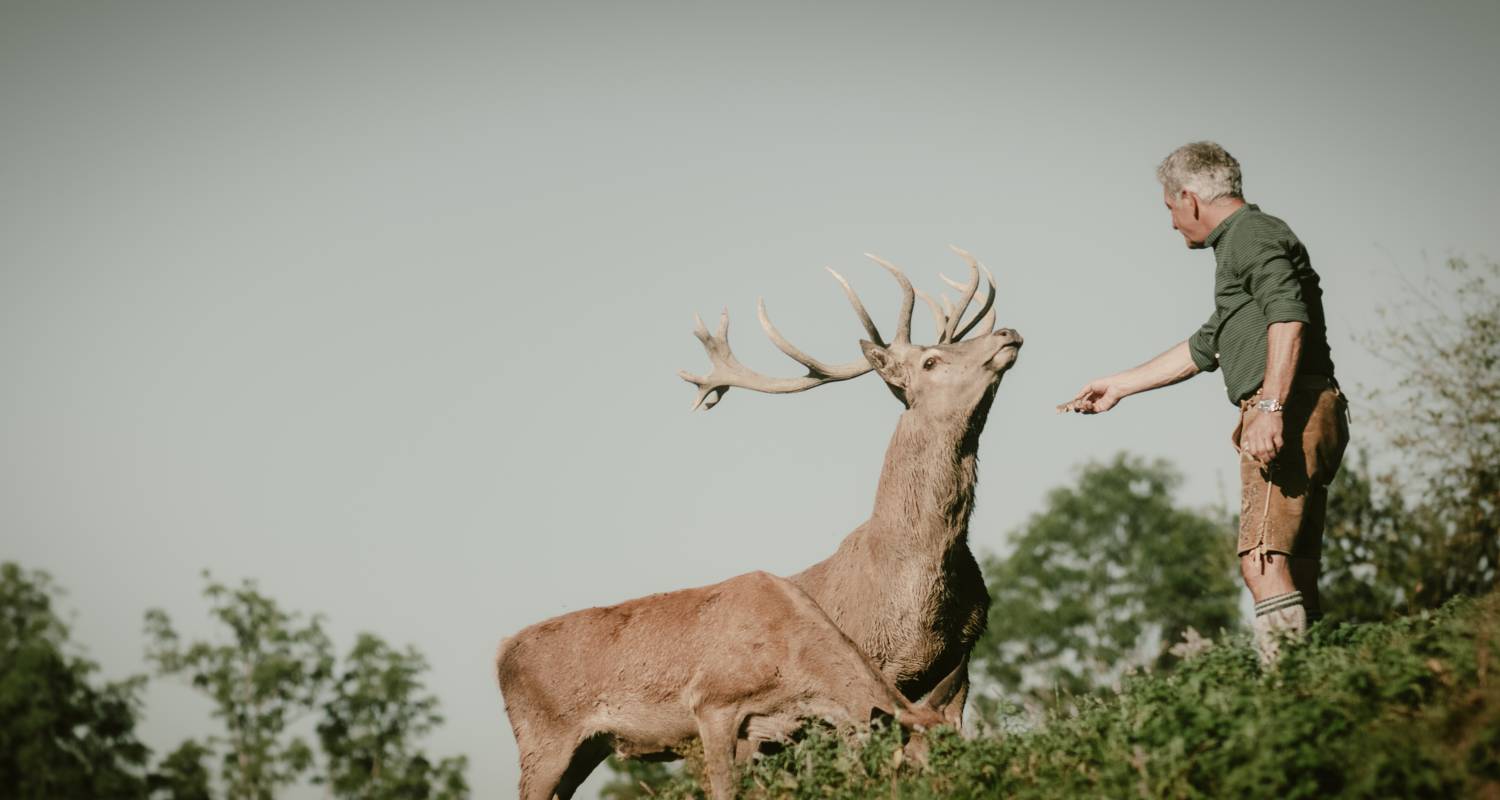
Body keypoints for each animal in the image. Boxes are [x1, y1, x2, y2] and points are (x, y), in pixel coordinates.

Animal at [498, 567, 954, 798]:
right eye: (909, 766)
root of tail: (499, 655)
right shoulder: (713, 705)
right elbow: (724, 789)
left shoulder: (767, 730)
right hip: (541, 742)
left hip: (586, 750)